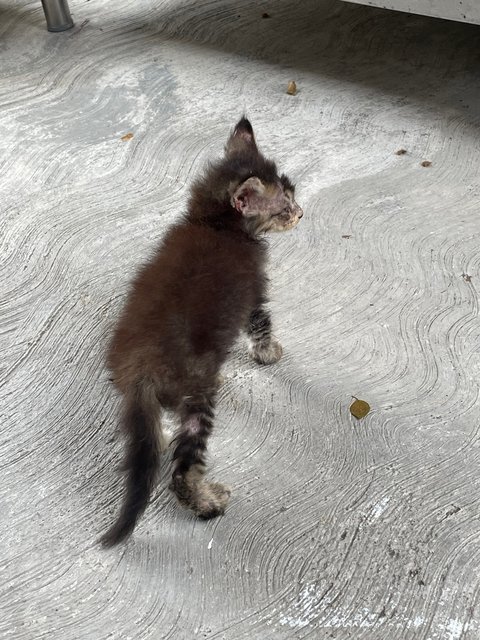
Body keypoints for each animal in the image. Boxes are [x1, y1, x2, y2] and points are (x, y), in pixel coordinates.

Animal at [100, 116, 304, 544]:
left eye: (292, 197)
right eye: (283, 208)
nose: (301, 213)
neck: (214, 223)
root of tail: (140, 368)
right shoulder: (254, 293)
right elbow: (261, 325)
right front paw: (269, 353)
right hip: (197, 399)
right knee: (181, 472)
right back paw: (208, 504)